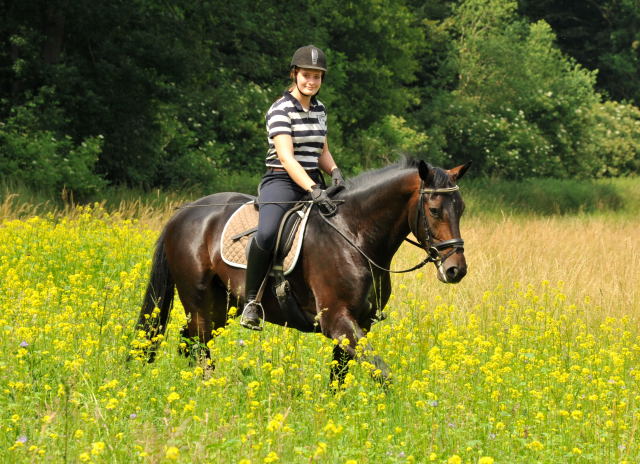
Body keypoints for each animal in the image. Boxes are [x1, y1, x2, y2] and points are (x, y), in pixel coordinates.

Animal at [134, 158, 470, 386]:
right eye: (435, 210)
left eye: (462, 208)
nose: (456, 269)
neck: (353, 233)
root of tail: (184, 213)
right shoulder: (338, 321)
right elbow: (381, 371)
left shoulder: (358, 323)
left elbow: (339, 376)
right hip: (200, 303)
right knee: (197, 346)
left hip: (221, 306)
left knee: (187, 342)